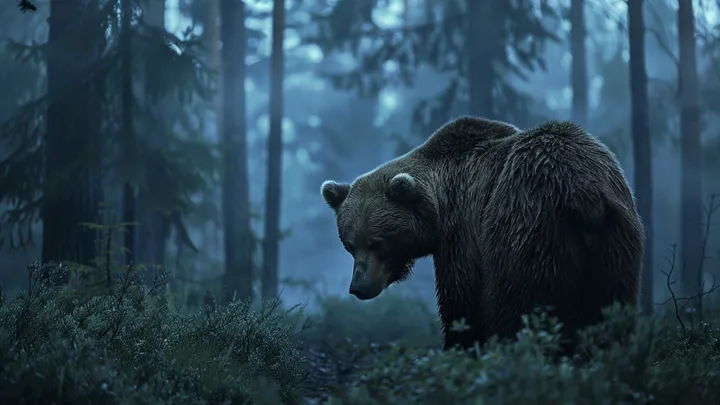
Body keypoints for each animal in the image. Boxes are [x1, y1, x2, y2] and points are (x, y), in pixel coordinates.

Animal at [319, 116, 644, 355]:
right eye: (350, 245)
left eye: (378, 243)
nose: (359, 287)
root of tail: (583, 193)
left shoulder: (462, 233)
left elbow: (462, 301)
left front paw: (458, 347)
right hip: (617, 244)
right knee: (607, 311)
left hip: (526, 230)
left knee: (516, 305)